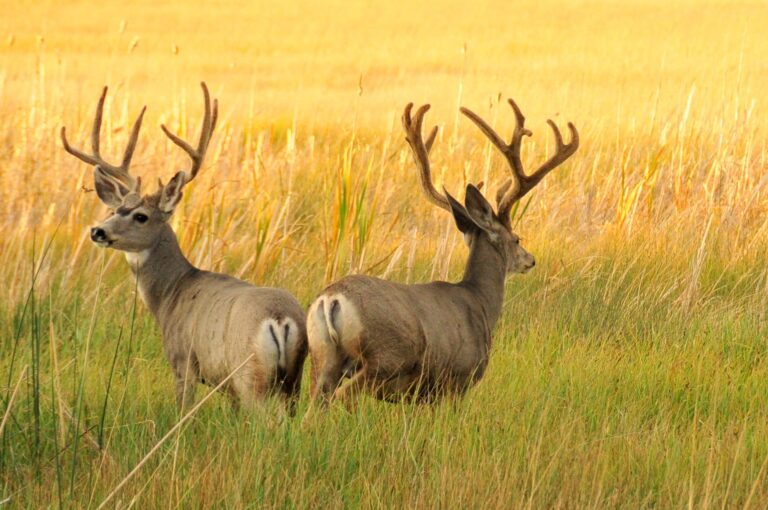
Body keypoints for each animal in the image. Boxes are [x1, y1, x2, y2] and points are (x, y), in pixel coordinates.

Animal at [61, 83, 307, 413]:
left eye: (141, 216)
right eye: (114, 210)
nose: (97, 231)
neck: (171, 294)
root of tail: (280, 319)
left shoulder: (183, 361)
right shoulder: (226, 385)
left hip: (249, 374)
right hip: (293, 381)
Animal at [306, 99, 578, 405]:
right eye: (517, 239)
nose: (531, 260)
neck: (480, 302)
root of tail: (331, 299)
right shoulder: (456, 381)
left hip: (322, 356)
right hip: (385, 356)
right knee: (343, 395)